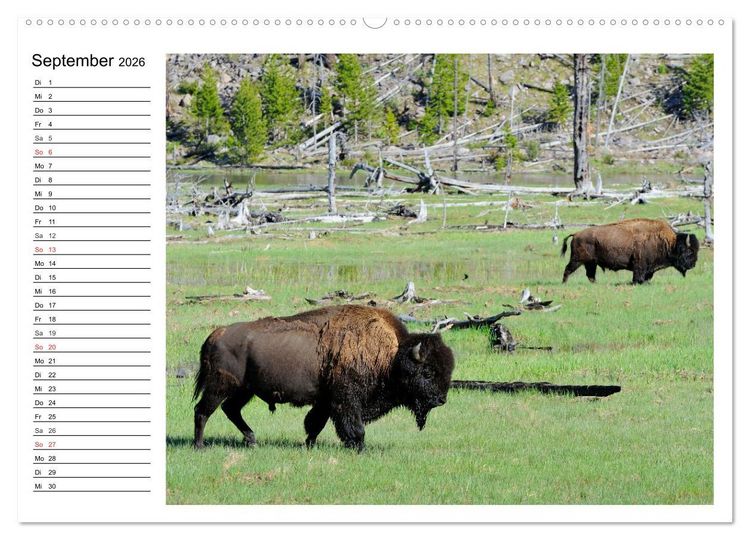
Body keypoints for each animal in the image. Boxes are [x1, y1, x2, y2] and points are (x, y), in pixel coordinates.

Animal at [193, 305, 455, 451]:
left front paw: (309, 445)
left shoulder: (325, 402)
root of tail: (216, 334)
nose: (441, 400)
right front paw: (360, 448)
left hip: (244, 390)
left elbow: (315, 424)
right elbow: (354, 427)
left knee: (230, 409)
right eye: (427, 372)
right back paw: (200, 446)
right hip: (221, 386)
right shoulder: (346, 402)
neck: (391, 356)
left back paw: (251, 440)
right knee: (203, 411)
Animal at [561, 218, 699, 284]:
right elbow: (638, 276)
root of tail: (576, 234)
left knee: (590, 275)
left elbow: (647, 277)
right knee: (568, 269)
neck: (670, 243)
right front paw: (637, 283)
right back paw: (564, 283)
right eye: (689, 252)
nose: (693, 265)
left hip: (590, 263)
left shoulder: (650, 268)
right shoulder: (640, 264)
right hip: (577, 260)